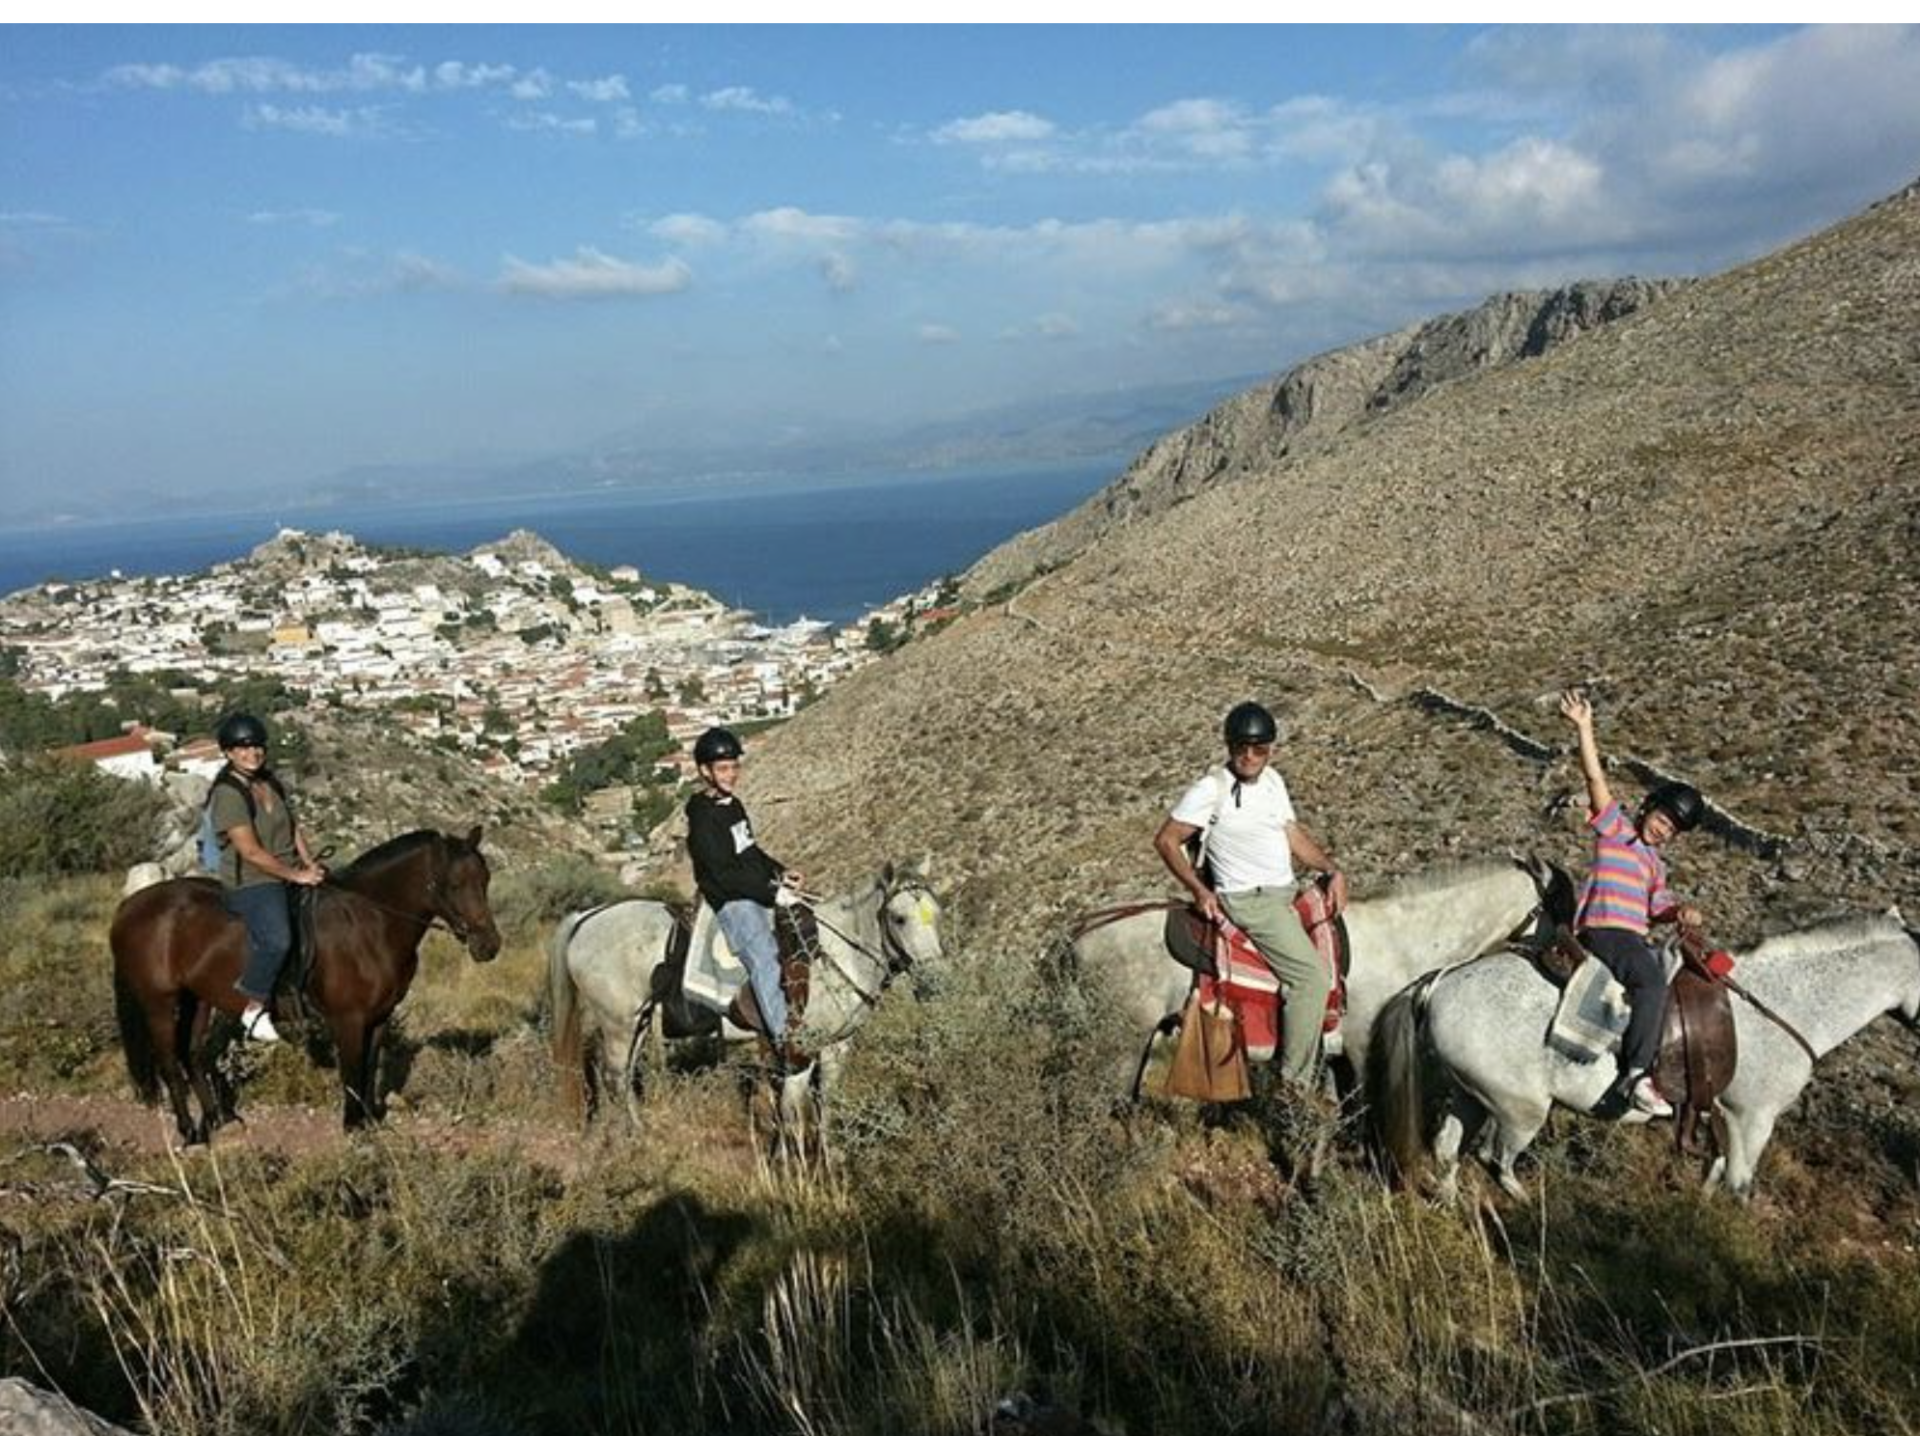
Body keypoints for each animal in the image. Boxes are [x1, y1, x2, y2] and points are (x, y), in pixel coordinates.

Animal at [110, 828, 502, 1143]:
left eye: (485, 880)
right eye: (454, 884)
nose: (489, 946)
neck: (370, 922)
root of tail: (130, 906)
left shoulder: (378, 1017)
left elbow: (368, 1068)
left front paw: (368, 1122)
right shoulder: (348, 1019)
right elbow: (351, 1072)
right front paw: (353, 1128)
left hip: (199, 1000)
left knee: (191, 1054)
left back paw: (220, 1119)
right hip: (160, 1003)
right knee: (168, 1061)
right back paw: (191, 1132)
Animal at [549, 862, 943, 1146]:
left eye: (937, 914)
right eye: (899, 918)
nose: (934, 983)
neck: (831, 954)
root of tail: (587, 917)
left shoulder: (836, 1047)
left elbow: (824, 1104)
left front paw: (830, 1157)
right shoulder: (797, 1050)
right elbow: (793, 1113)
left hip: (640, 1021)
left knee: (627, 1075)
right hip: (618, 1022)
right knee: (614, 1077)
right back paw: (633, 1138)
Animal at [1063, 856, 1575, 1097]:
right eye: (1559, 905)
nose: (1575, 959)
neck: (1402, 938)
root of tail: (1080, 932)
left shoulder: (1339, 1057)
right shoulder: (1363, 1047)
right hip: (1122, 1047)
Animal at [1369, 912, 1920, 1201]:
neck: (1786, 1002)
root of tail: (1441, 980)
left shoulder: (1720, 1117)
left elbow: (1713, 1172)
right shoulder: (1751, 1120)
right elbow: (1738, 1185)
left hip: (1471, 1094)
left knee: (1447, 1150)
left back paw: (1450, 1206)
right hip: (1519, 1110)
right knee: (1494, 1160)